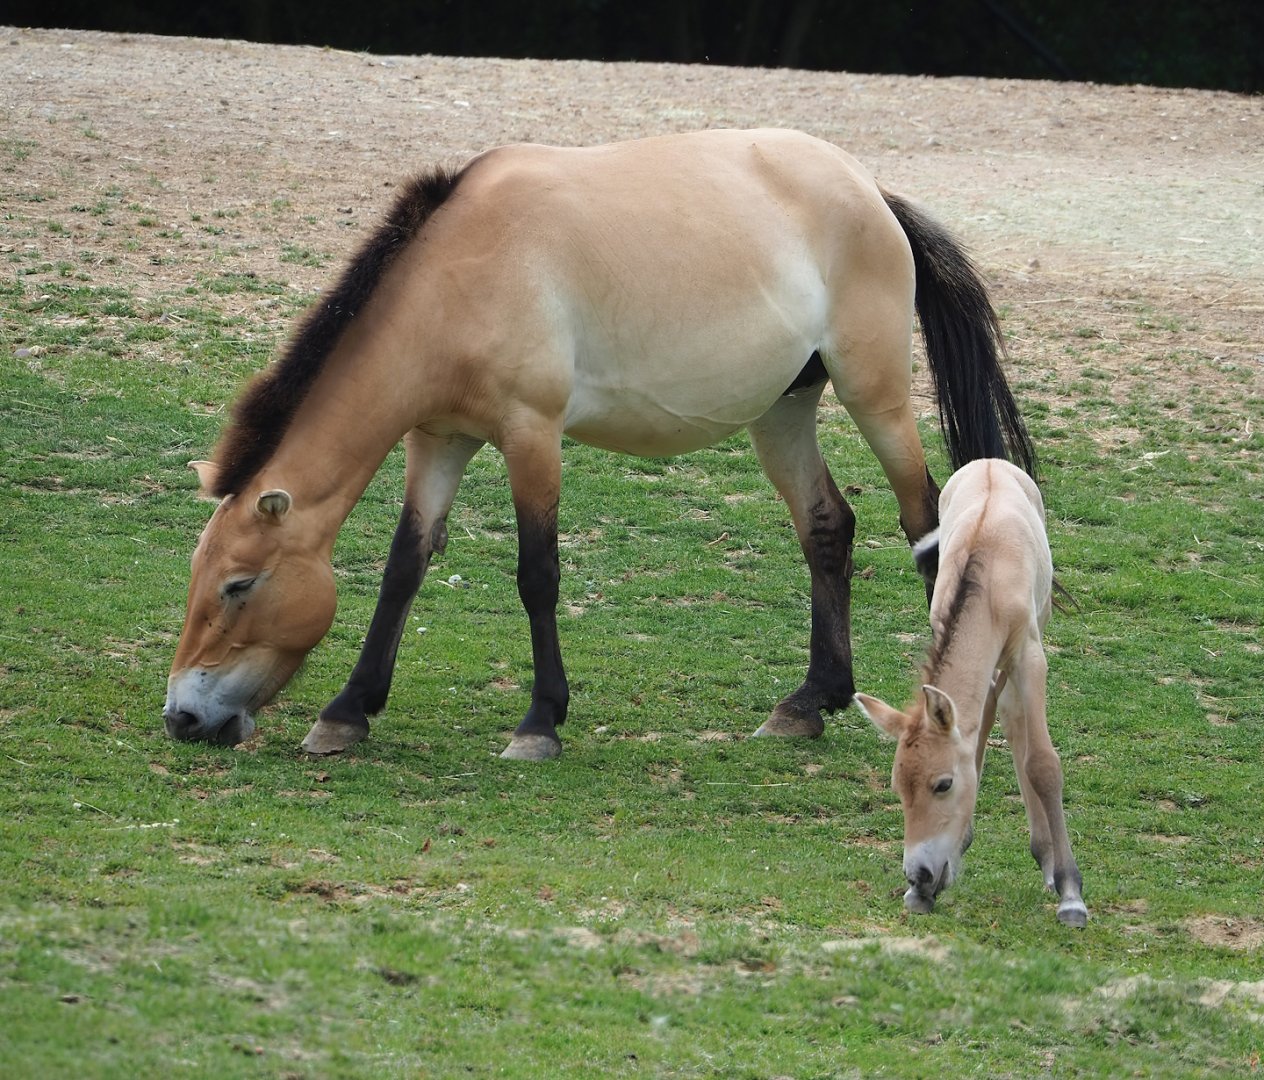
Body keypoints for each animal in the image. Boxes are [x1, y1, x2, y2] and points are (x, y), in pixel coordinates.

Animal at [163, 128, 1035, 761]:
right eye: (197, 576)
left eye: (239, 585)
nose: (182, 717)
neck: (459, 271)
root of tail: (871, 191)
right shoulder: (439, 439)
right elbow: (403, 567)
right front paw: (347, 712)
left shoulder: (531, 435)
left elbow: (537, 575)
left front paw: (539, 724)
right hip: (782, 414)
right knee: (828, 528)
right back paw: (808, 703)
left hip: (875, 398)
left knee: (927, 528)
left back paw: (943, 715)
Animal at [855, 458, 1086, 927]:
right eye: (898, 787)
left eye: (943, 784)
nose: (919, 874)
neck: (987, 575)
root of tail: (989, 462)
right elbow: (978, 741)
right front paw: (934, 882)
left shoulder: (1030, 655)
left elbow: (1043, 764)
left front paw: (1071, 894)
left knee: (1016, 720)